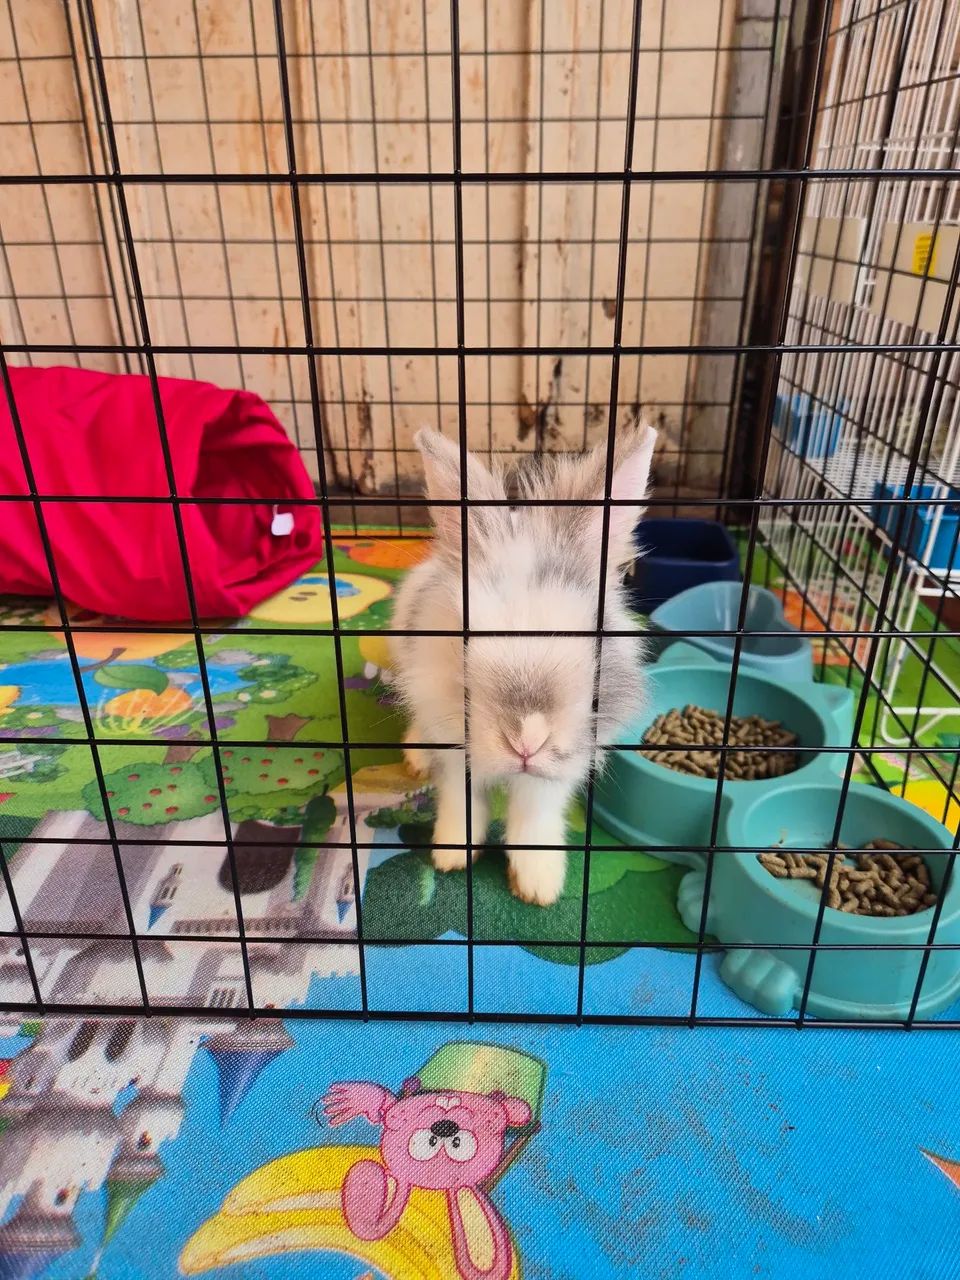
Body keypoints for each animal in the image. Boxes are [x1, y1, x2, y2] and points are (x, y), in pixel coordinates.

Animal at [390, 422, 656, 907]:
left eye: (591, 637)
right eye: (466, 636)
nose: (526, 741)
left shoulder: (557, 772)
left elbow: (535, 816)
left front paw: (537, 884)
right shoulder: (456, 748)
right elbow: (462, 800)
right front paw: (452, 854)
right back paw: (416, 756)